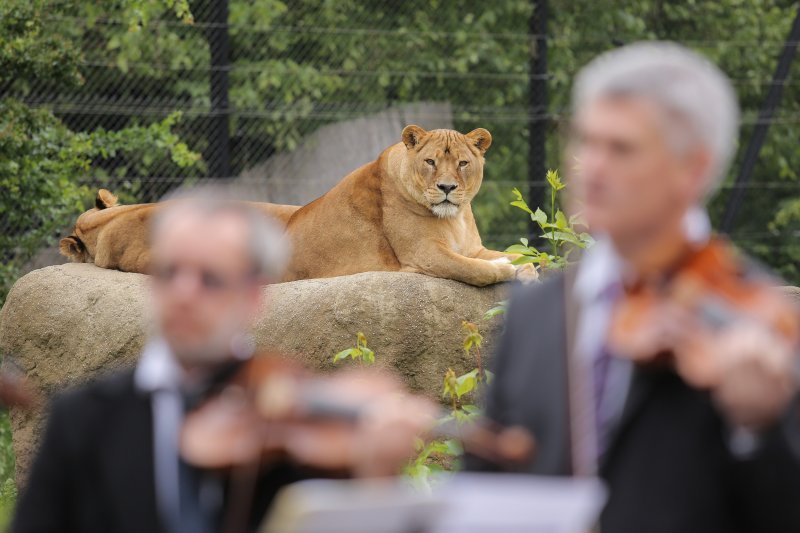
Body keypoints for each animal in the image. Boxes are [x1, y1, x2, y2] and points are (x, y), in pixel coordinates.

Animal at [61, 125, 532, 286]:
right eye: (431, 162)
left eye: (464, 163)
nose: (449, 188)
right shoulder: (424, 255)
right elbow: (476, 269)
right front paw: (508, 272)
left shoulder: (469, 244)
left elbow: (510, 252)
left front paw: (526, 266)